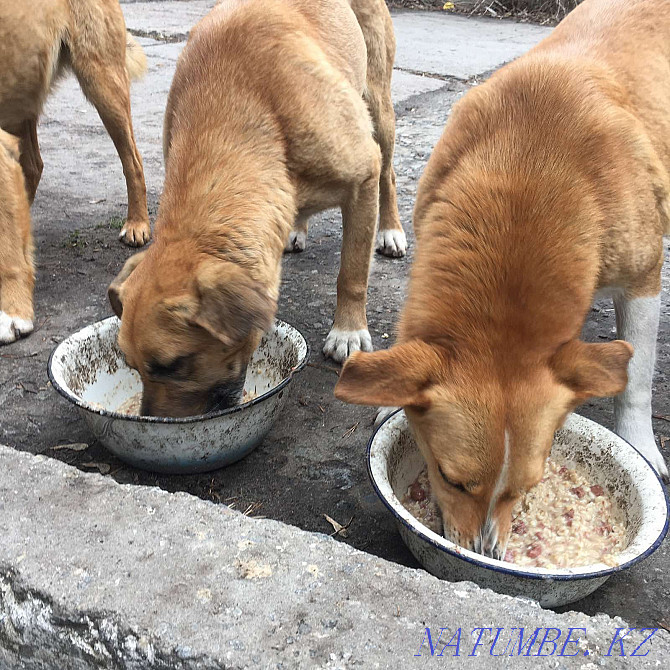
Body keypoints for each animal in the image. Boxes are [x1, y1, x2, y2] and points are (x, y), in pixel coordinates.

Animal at [107, 0, 406, 418]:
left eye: (173, 364)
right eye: (131, 365)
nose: (151, 422)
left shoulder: (363, 178)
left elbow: (352, 272)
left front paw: (348, 330)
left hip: (379, 108)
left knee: (389, 174)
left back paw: (390, 230)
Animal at [338, 0, 668, 560]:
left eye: (527, 488)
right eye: (451, 479)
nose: (482, 555)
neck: (531, 171)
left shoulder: (643, 280)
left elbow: (637, 378)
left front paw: (640, 443)